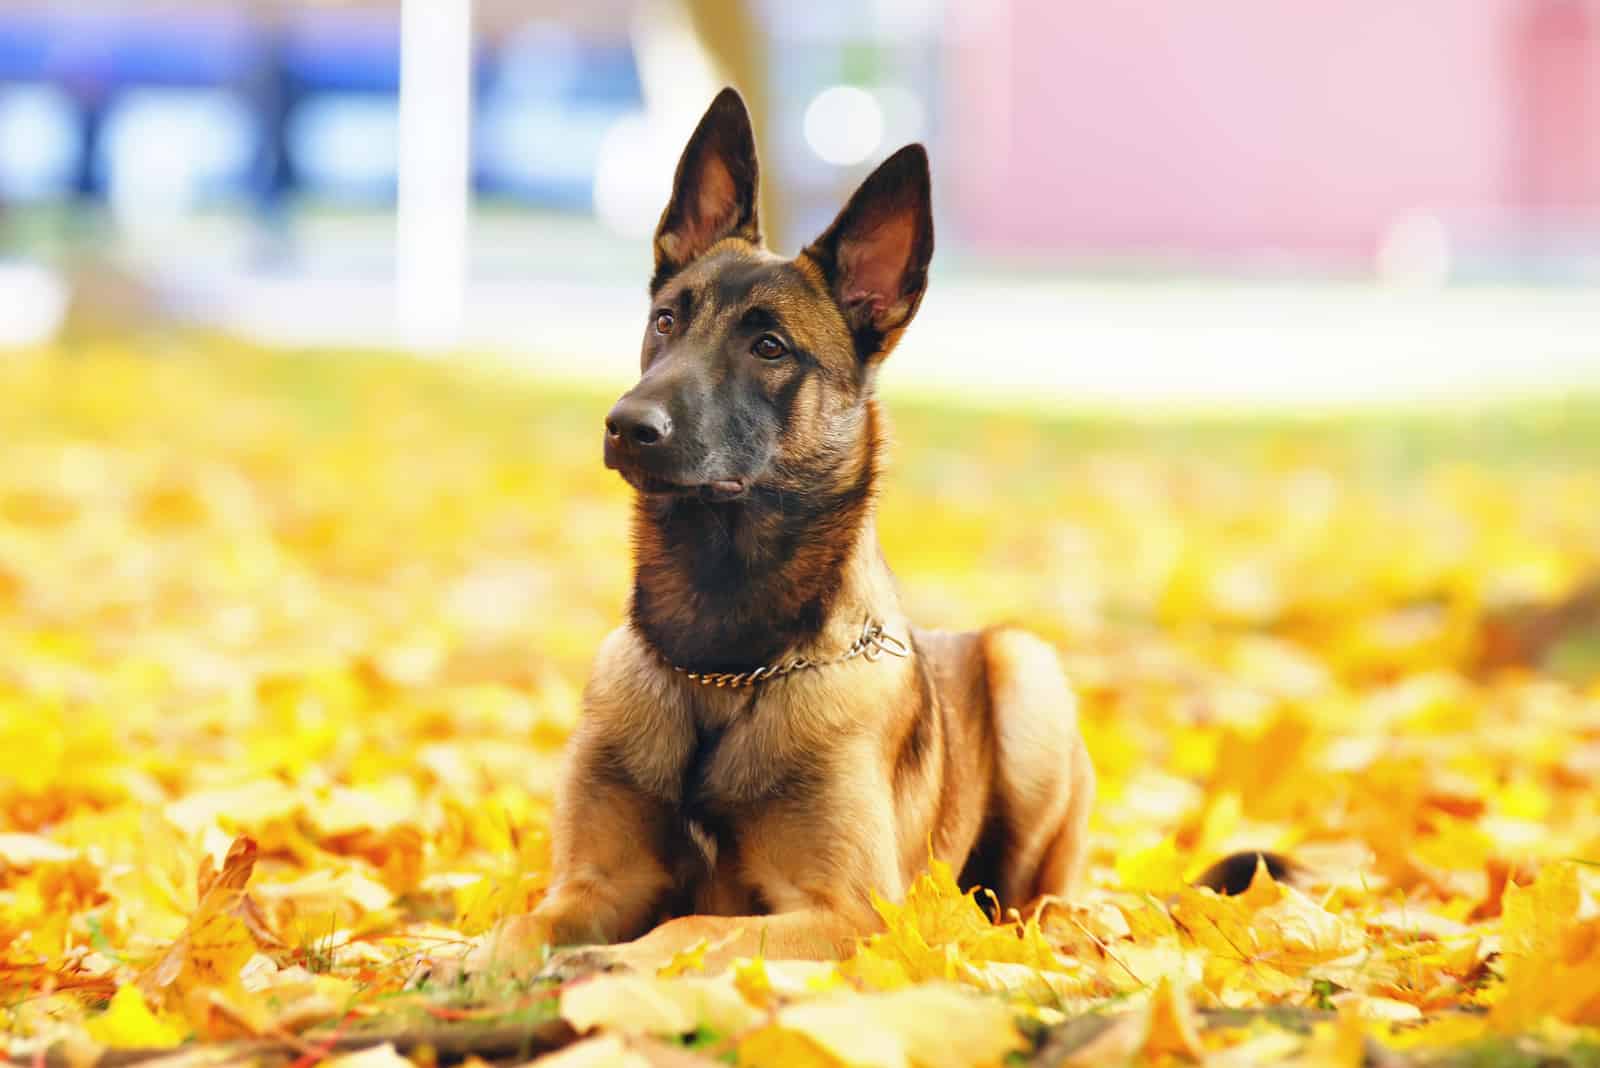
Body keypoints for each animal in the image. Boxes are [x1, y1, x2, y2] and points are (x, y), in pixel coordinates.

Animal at [480, 89, 1094, 978]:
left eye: (769, 346)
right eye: (666, 321)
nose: (627, 426)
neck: (720, 661)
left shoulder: (849, 913)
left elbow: (693, 928)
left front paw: (616, 965)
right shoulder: (595, 882)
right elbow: (524, 925)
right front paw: (466, 962)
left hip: (1027, 672)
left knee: (1032, 901)